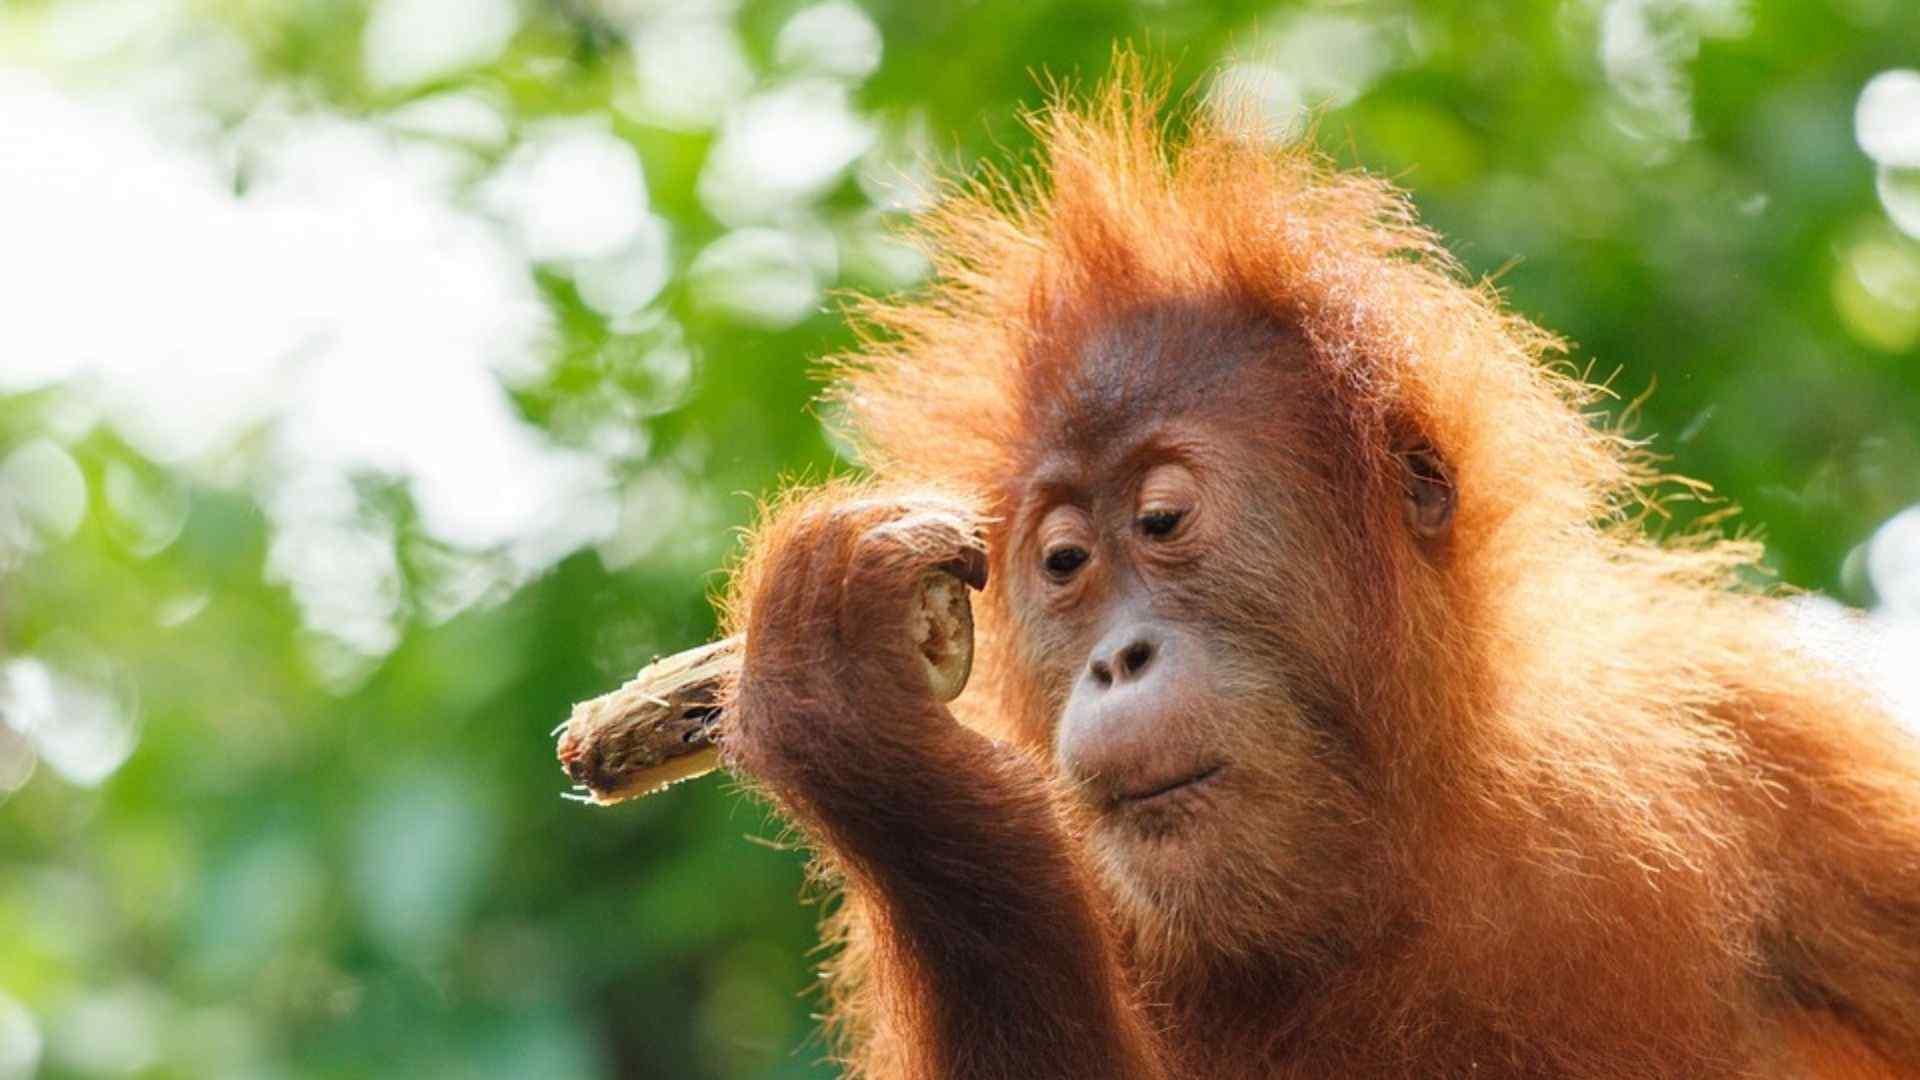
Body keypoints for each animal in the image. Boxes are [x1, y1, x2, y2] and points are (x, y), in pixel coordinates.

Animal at [705, 69, 1920, 1079]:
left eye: (1162, 520)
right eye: (1063, 564)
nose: (1116, 661)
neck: (1392, 853)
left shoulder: (1777, 740)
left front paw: (848, 708)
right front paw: (869, 738)